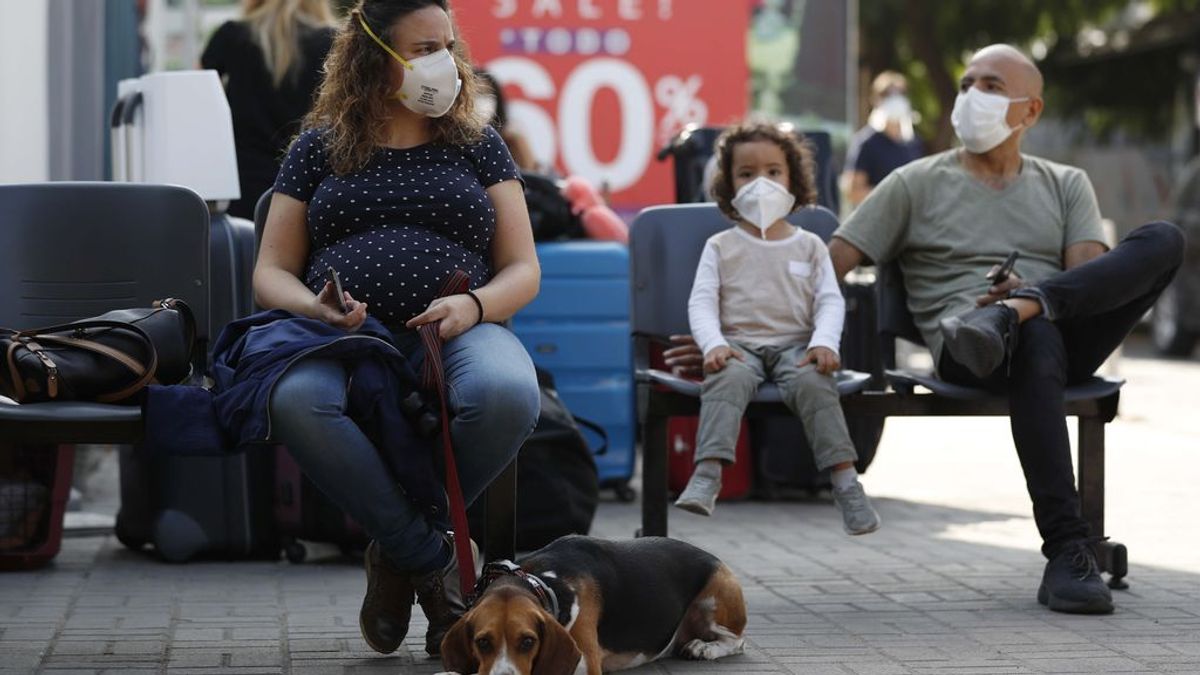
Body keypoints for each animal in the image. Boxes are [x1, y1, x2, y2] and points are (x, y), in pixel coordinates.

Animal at [436, 533, 744, 667]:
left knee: (736, 641)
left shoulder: (583, 661)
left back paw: (704, 648)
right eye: (482, 643)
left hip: (716, 597)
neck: (542, 581)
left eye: (527, 642)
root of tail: (713, 557)